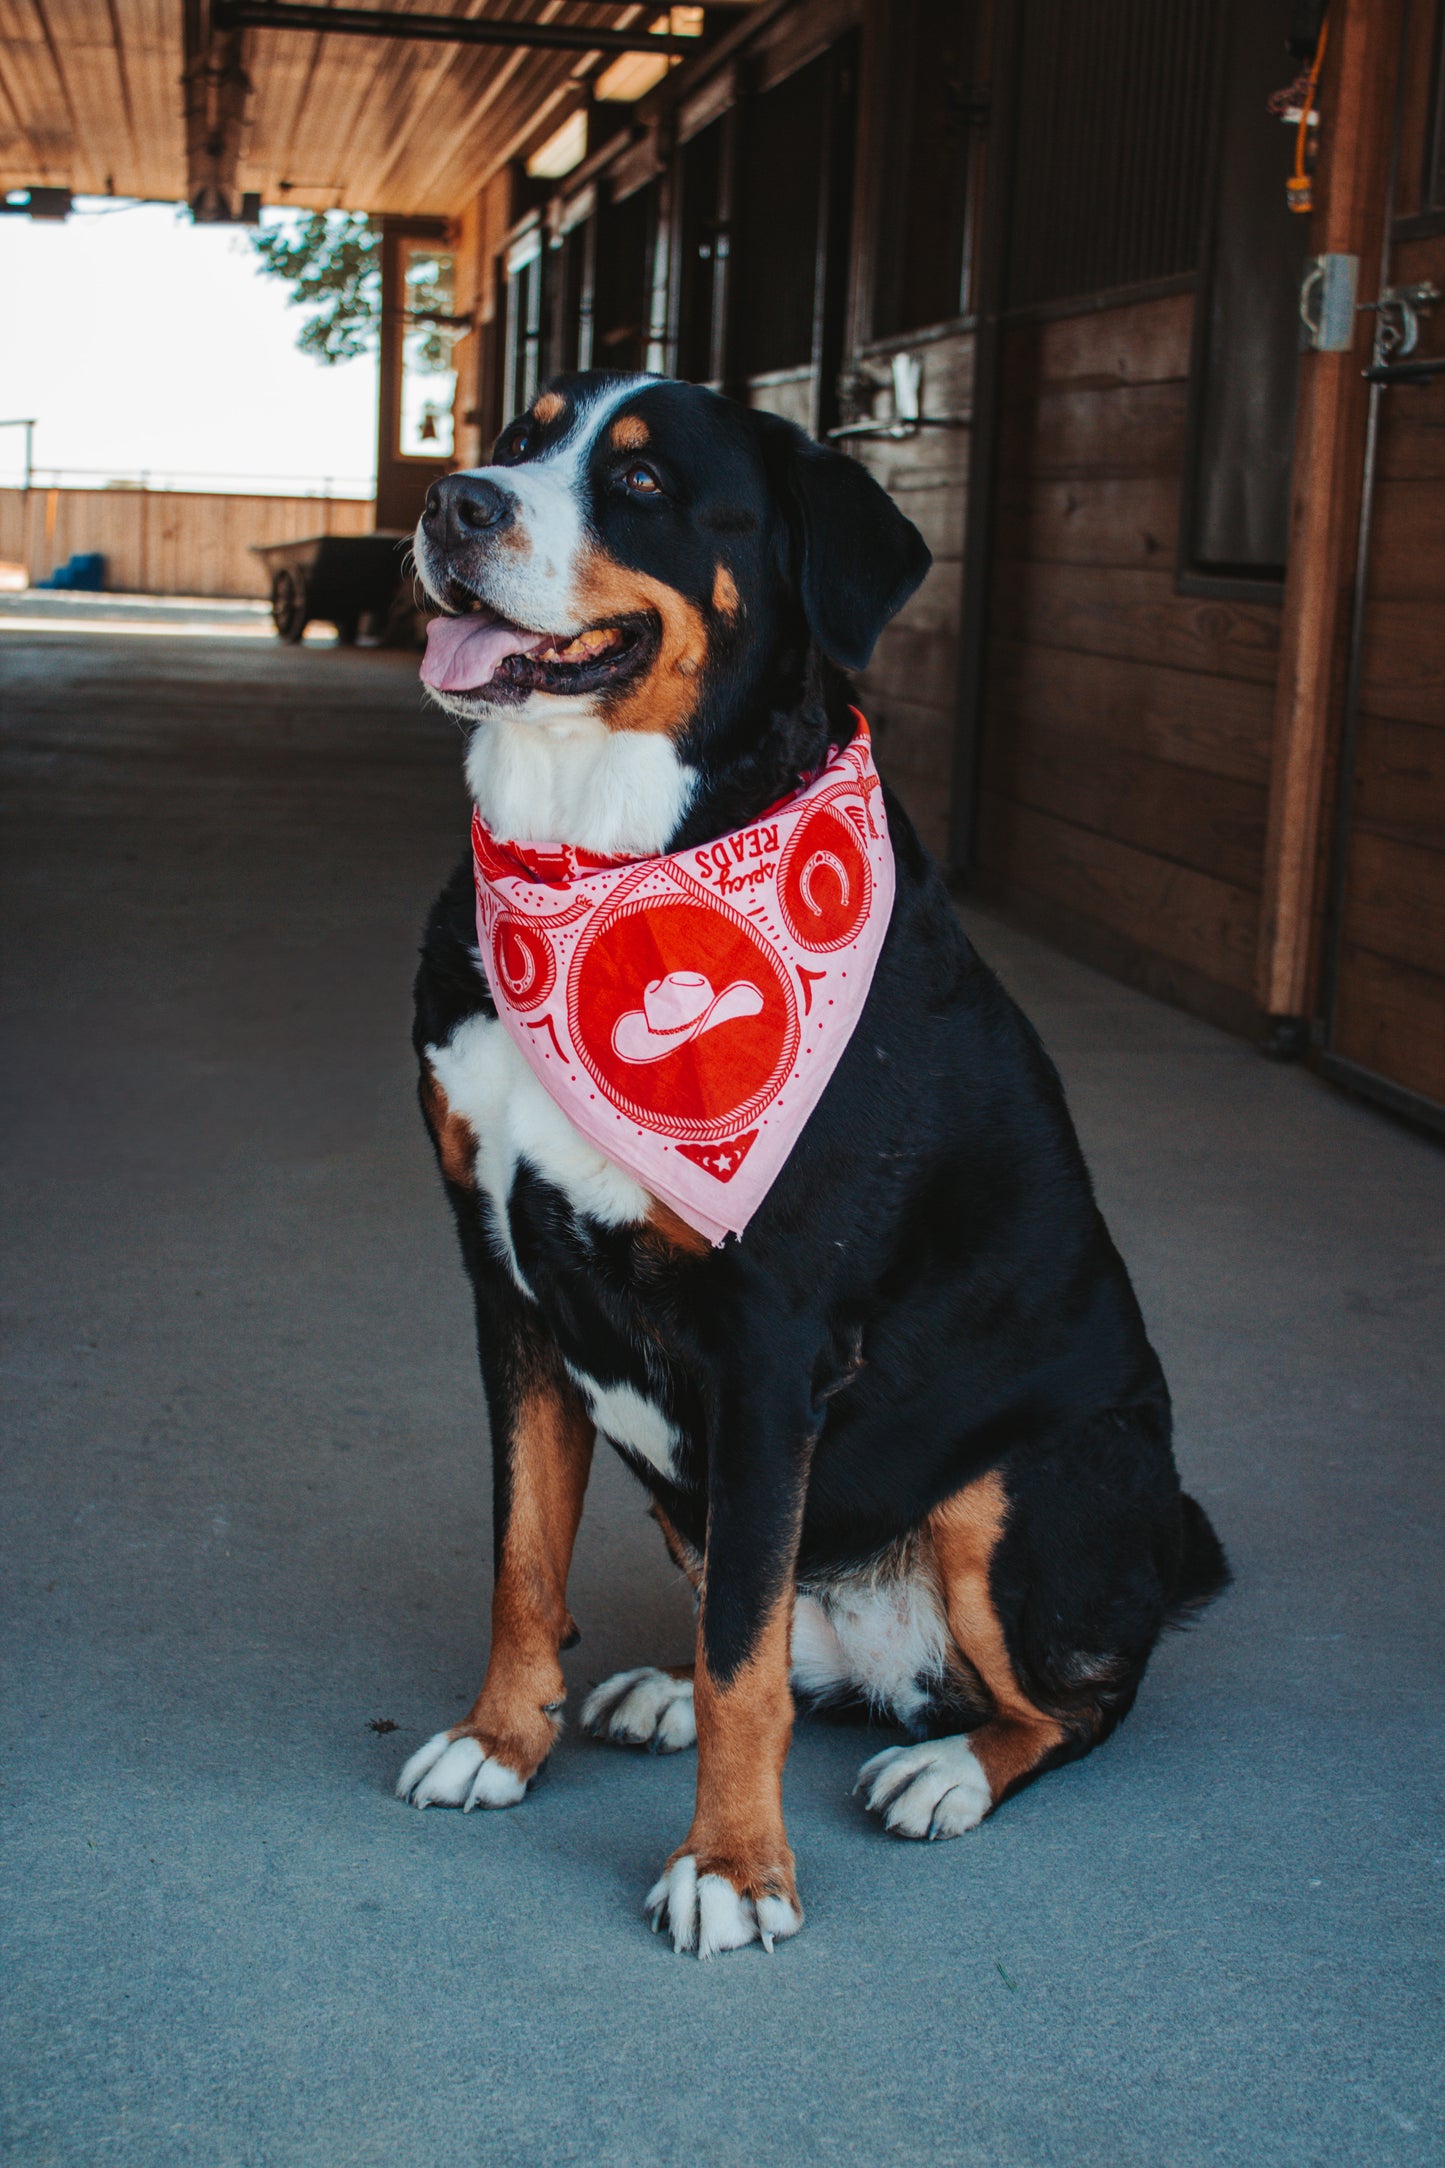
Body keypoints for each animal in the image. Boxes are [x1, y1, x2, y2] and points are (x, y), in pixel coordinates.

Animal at [398, 372, 1230, 1968]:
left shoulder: (769, 1340)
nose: (454, 501)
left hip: (1025, 1479)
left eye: (642, 482)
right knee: (794, 1634)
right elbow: (524, 1559)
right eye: (521, 433)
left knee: (1066, 1700)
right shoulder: (500, 1282)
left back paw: (945, 1767)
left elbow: (745, 1649)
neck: (603, 861)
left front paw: (731, 1864)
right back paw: (669, 1690)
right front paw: (500, 1737)